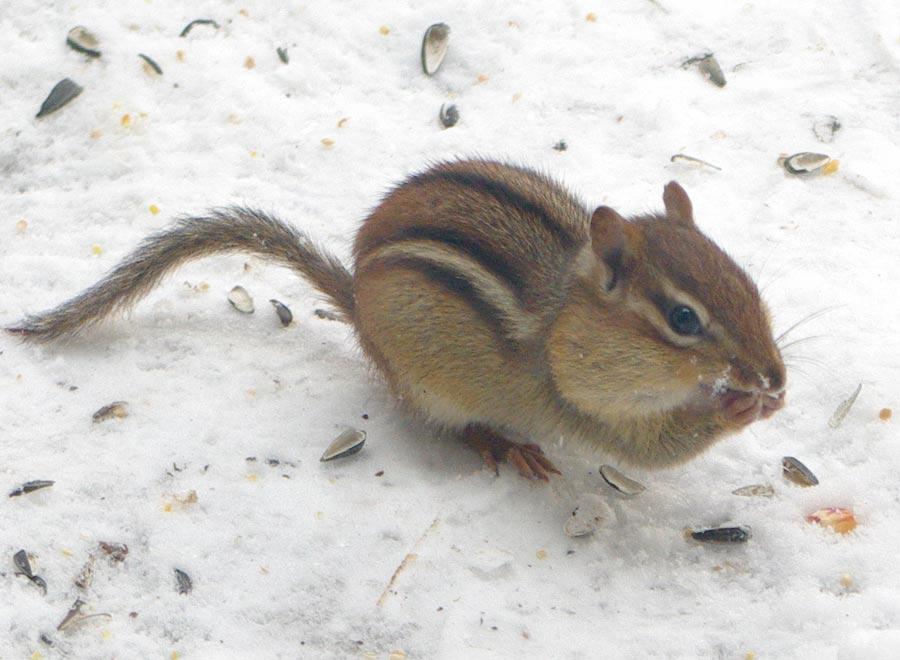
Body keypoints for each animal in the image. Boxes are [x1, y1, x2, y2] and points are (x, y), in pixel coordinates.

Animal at [8, 159, 786, 479]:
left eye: (750, 283)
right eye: (683, 319)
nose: (776, 377)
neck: (566, 319)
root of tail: (357, 305)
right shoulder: (586, 402)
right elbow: (650, 448)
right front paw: (739, 407)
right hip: (429, 383)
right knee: (449, 423)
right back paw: (506, 446)